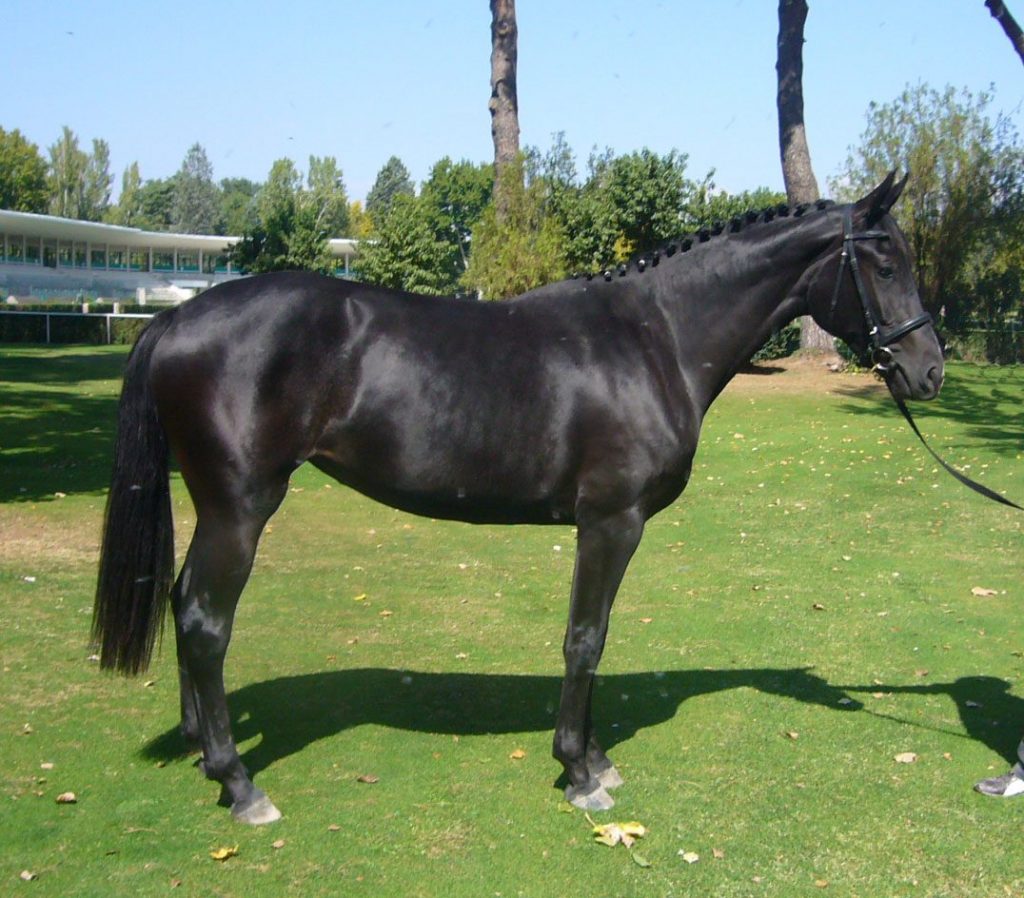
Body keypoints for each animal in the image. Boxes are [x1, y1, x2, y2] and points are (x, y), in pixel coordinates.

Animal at [93, 172, 943, 825]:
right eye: (884, 261)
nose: (929, 369)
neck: (656, 338)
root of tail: (173, 319)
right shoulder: (610, 522)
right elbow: (585, 639)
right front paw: (579, 773)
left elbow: (595, 639)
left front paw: (596, 757)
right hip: (241, 508)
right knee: (206, 622)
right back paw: (240, 784)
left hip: (217, 509)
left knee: (182, 601)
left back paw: (202, 749)